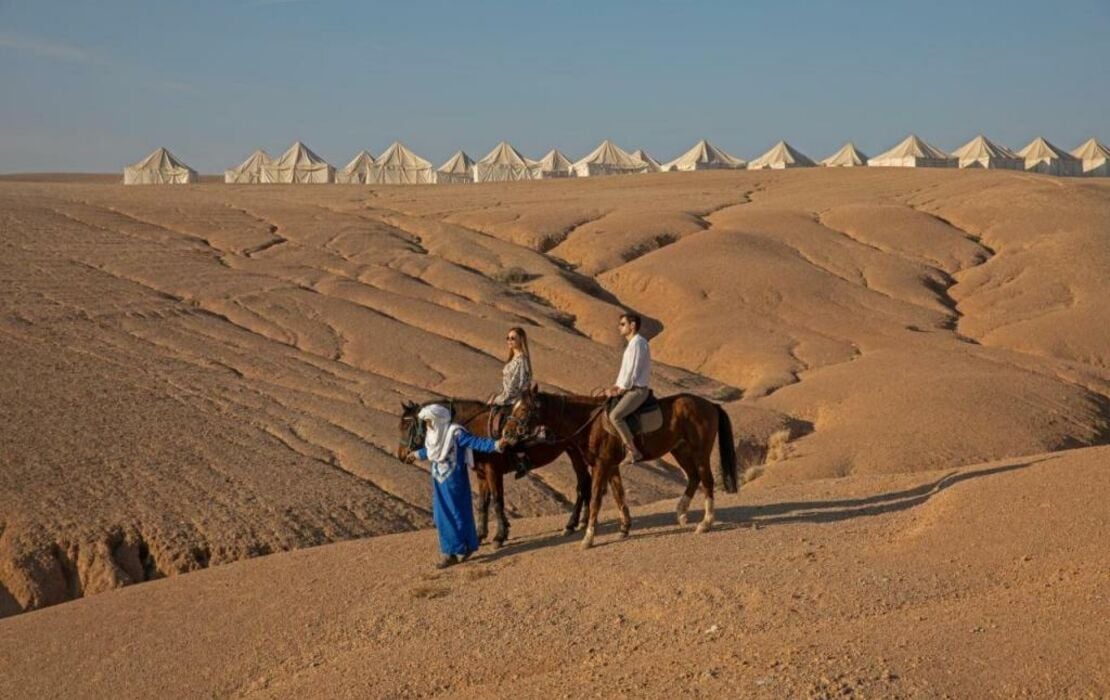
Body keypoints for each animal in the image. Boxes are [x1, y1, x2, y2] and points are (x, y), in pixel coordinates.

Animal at [399, 399, 621, 548]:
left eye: (408, 425)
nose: (402, 455)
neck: (473, 428)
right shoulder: (482, 474)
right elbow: (483, 503)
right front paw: (481, 534)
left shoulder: (493, 471)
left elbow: (498, 501)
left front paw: (499, 536)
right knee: (586, 484)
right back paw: (581, 521)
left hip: (574, 452)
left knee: (583, 485)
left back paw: (572, 524)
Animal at [506, 386, 737, 550]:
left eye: (524, 409)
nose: (507, 432)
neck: (590, 422)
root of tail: (711, 405)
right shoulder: (611, 466)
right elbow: (619, 495)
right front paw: (624, 528)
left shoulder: (601, 465)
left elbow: (596, 499)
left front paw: (588, 538)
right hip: (680, 450)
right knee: (693, 477)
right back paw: (681, 514)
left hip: (699, 452)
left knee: (706, 480)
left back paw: (705, 523)